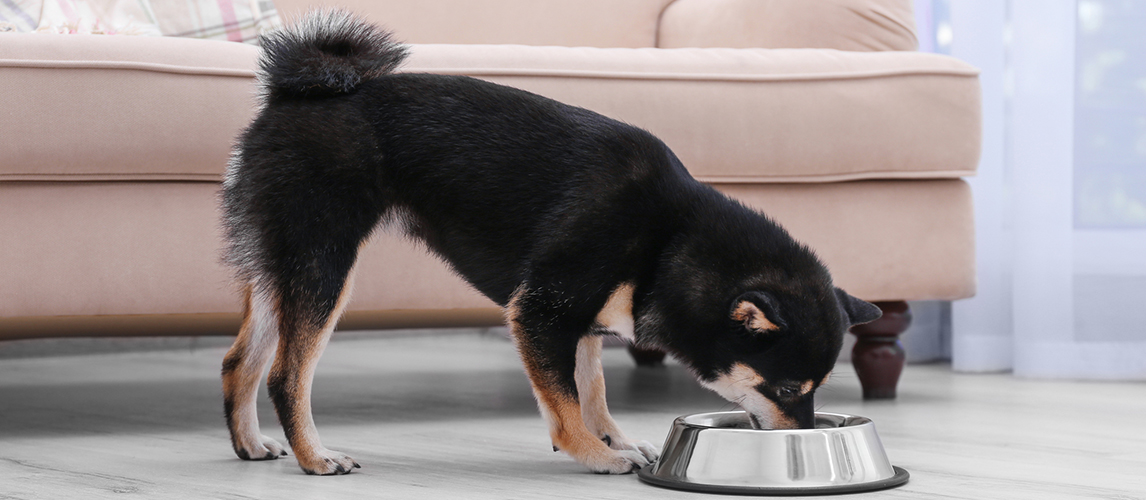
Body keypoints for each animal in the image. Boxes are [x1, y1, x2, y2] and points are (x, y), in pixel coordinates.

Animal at [218, 10, 880, 477]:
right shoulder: (541, 311)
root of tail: (291, 94)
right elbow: (564, 406)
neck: (669, 235)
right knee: (285, 375)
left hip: (281, 267)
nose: (805, 437)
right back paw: (316, 457)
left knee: (239, 362)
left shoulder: (578, 318)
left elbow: (592, 390)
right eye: (789, 390)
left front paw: (614, 438)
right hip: (324, 264)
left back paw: (251, 445)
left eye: (813, 392)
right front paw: (597, 454)